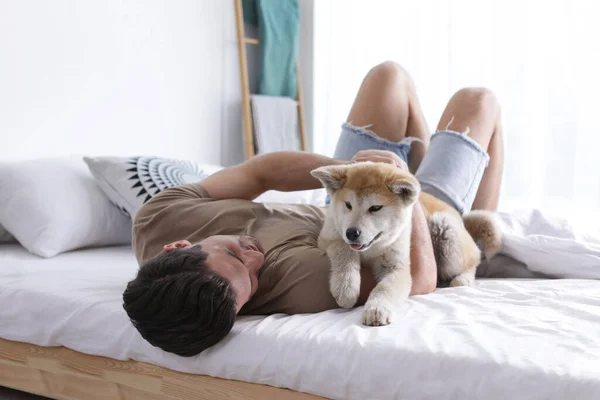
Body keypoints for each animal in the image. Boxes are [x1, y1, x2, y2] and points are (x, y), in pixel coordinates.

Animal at [312, 161, 500, 326]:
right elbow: (343, 249)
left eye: (375, 208)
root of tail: (460, 217)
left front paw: (377, 309)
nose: (351, 233)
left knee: (473, 261)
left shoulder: (398, 267)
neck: (371, 249)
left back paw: (463, 279)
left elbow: (385, 288)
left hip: (445, 230)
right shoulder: (328, 238)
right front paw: (346, 287)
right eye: (348, 205)